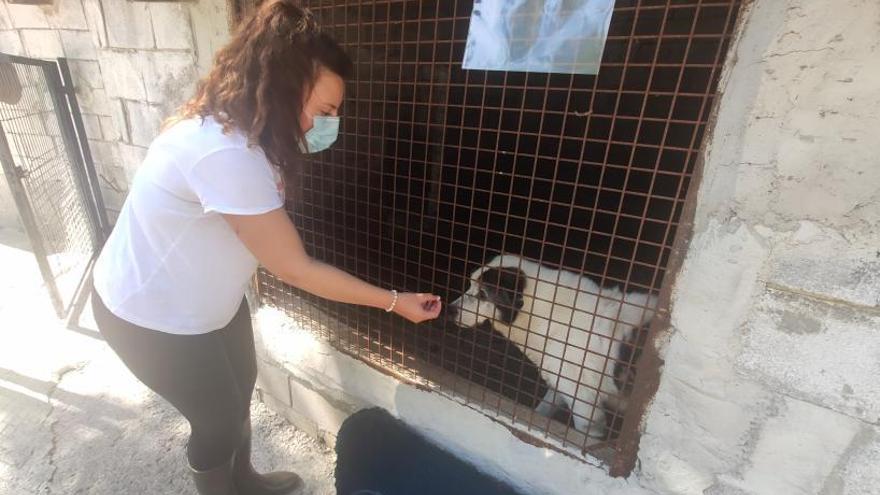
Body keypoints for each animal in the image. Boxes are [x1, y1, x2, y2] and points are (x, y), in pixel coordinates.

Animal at [450, 256, 656, 438]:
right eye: (470, 285)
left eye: (482, 294)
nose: (450, 309)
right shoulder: (560, 383)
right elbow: (540, 412)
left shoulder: (585, 407)